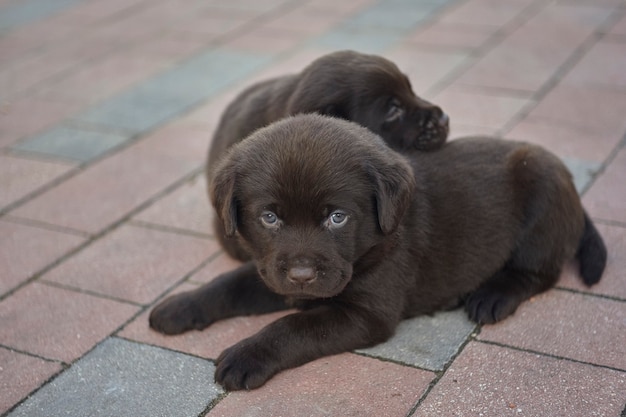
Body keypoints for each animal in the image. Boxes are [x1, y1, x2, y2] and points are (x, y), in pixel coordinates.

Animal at [149, 112, 604, 388]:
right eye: (270, 218)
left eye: (337, 217)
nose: (302, 276)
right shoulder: (270, 269)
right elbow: (227, 284)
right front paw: (179, 306)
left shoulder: (366, 314)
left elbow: (292, 327)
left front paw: (247, 355)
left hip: (542, 192)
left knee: (539, 272)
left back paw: (492, 296)